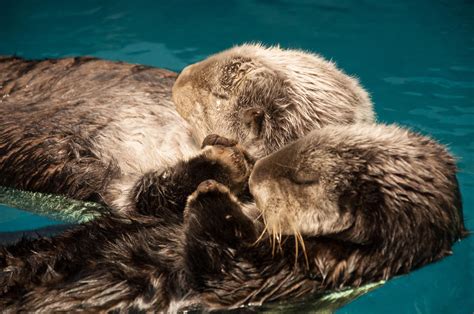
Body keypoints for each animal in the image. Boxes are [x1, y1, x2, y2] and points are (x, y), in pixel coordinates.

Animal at [0, 130, 466, 312]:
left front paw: (214, 195)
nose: (257, 171)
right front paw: (223, 160)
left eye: (304, 178)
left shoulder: (292, 276)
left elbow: (220, 268)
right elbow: (142, 204)